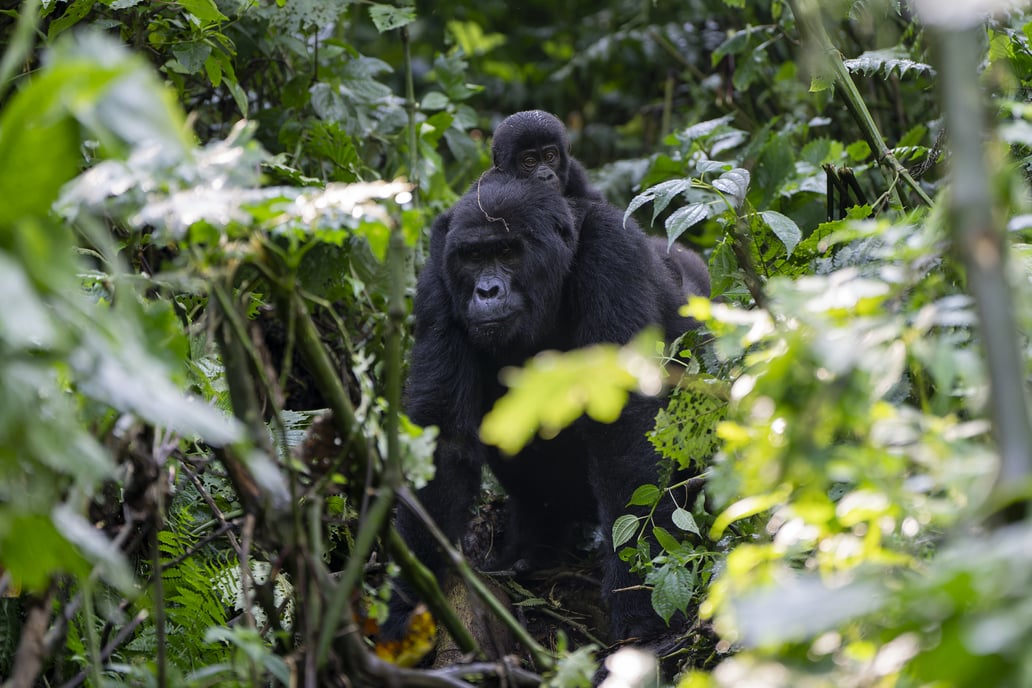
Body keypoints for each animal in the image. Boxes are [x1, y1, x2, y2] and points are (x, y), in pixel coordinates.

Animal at [388, 173, 710, 647]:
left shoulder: (612, 254)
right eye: (472, 257)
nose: (486, 291)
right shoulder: (436, 279)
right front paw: (407, 599)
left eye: (507, 252)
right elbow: (444, 437)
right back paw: (530, 548)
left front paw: (638, 607)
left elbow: (623, 432)